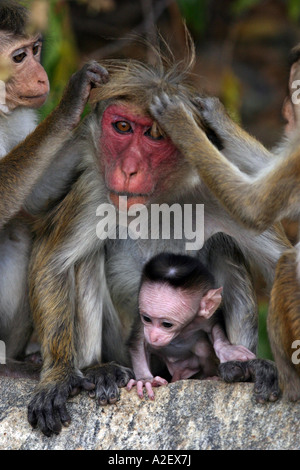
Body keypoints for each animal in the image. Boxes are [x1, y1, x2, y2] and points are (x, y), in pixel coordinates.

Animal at [0, 0, 109, 360]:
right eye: (19, 57)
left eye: (35, 50)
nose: (41, 75)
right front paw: (69, 104)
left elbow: (33, 197)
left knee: (18, 231)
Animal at [126, 253, 255, 400]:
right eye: (147, 319)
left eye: (167, 324)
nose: (153, 336)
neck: (182, 329)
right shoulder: (141, 324)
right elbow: (137, 344)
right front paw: (145, 380)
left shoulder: (204, 318)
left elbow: (214, 328)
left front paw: (227, 350)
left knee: (202, 348)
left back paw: (208, 377)